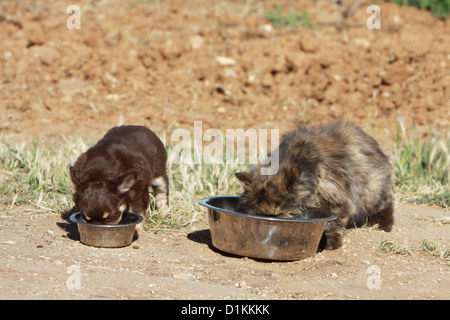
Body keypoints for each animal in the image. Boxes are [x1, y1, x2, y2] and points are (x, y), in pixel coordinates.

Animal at [236, 121, 394, 249]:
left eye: (279, 214)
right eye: (260, 214)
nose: (271, 225)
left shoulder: (337, 199)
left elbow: (334, 223)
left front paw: (330, 242)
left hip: (372, 191)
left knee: (387, 202)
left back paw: (384, 223)